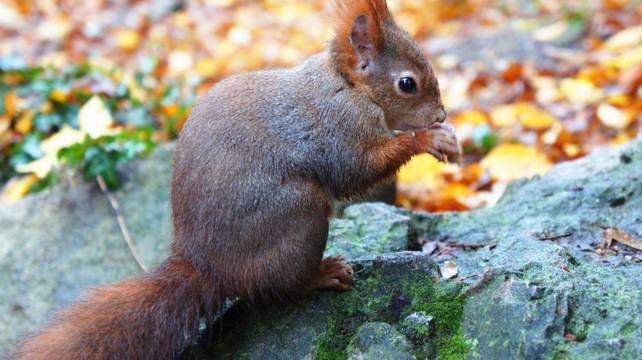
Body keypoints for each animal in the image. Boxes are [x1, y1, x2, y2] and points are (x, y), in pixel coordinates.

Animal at [10, 1, 460, 358]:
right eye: (407, 84)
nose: (440, 114)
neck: (347, 85)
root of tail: (206, 266)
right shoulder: (339, 130)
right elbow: (355, 169)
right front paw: (428, 139)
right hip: (300, 214)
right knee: (282, 288)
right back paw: (323, 274)